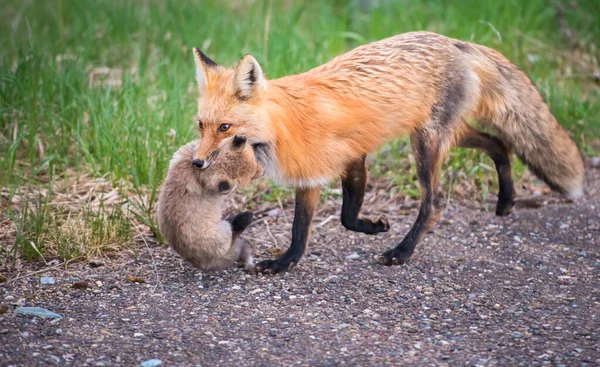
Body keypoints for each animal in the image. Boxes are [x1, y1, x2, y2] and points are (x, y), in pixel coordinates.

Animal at [157, 137, 262, 272]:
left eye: (254, 163)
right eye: (241, 182)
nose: (262, 172)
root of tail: (200, 264)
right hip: (223, 231)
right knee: (233, 233)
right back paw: (243, 218)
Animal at [190, 30, 584, 274]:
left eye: (225, 128)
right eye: (200, 125)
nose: (197, 161)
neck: (282, 126)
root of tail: (455, 42)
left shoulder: (339, 160)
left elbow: (320, 225)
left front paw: (288, 261)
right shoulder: (331, 167)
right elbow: (331, 221)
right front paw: (369, 227)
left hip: (426, 144)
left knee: (434, 203)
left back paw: (403, 251)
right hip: (449, 135)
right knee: (500, 144)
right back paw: (506, 201)